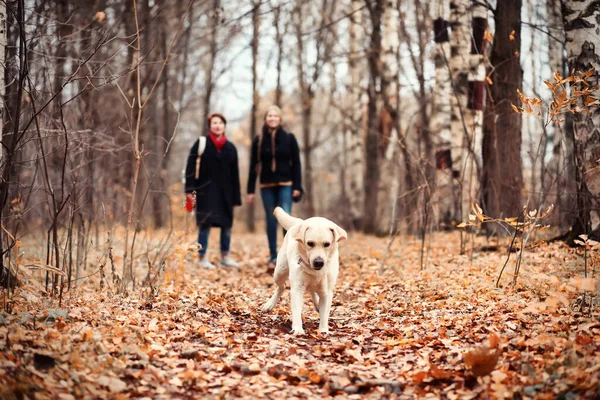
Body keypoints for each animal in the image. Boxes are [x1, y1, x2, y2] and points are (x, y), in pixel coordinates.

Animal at [262, 206, 350, 334]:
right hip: (279, 272)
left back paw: (317, 304)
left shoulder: (327, 292)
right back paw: (269, 304)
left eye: (327, 244)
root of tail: (300, 221)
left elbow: (324, 314)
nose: (318, 262)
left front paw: (323, 331)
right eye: (310, 243)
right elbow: (297, 311)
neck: (314, 271)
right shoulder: (297, 289)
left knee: (312, 290)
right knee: (281, 286)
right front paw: (298, 329)